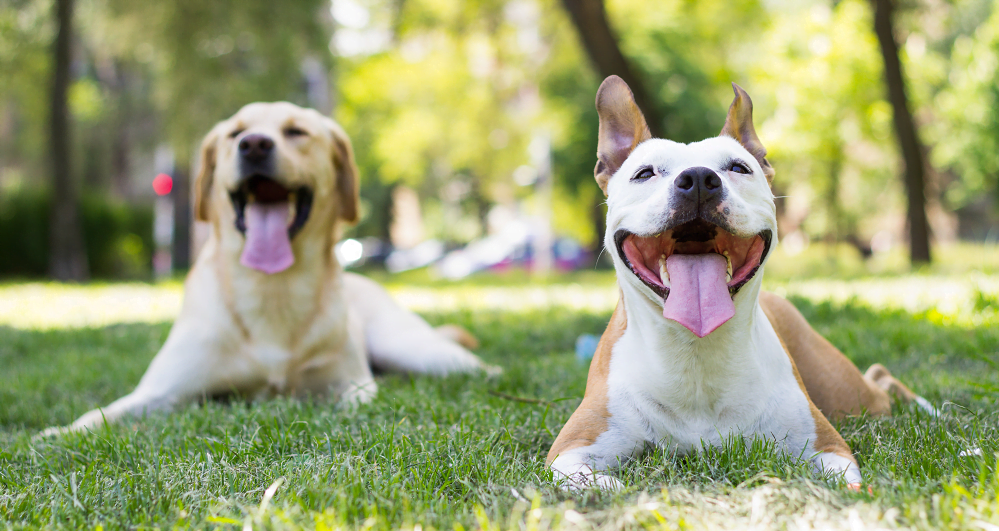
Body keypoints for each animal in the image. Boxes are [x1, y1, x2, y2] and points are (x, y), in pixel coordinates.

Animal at [47, 101, 492, 436]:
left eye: (296, 132)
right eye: (234, 134)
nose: (255, 145)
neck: (273, 289)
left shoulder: (353, 384)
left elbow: (351, 402)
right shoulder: (159, 392)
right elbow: (100, 415)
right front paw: (56, 433)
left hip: (420, 351)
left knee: (481, 368)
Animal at [548, 77, 928, 492]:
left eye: (738, 168)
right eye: (645, 173)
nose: (699, 179)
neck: (696, 351)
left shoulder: (827, 446)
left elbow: (842, 480)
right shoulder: (571, 450)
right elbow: (602, 483)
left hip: (848, 395)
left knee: (880, 382)